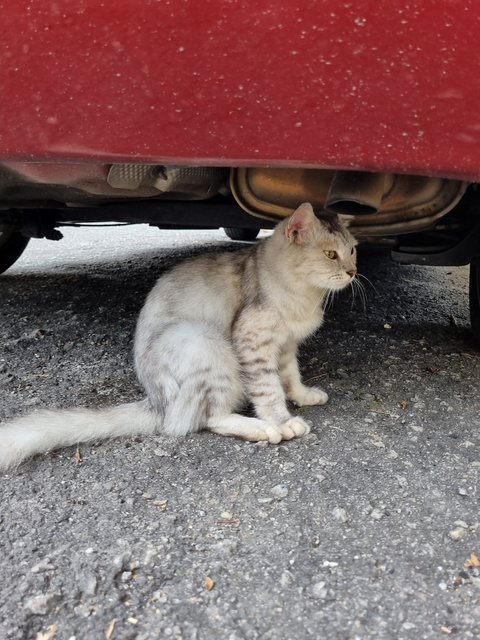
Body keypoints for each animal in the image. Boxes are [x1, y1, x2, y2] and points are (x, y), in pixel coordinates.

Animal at [0, 202, 354, 468]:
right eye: (330, 255)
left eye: (352, 250)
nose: (352, 272)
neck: (305, 295)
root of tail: (156, 402)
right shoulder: (254, 341)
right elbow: (269, 390)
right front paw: (282, 419)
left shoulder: (285, 345)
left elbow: (291, 377)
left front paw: (303, 396)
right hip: (203, 344)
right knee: (206, 419)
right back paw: (263, 429)